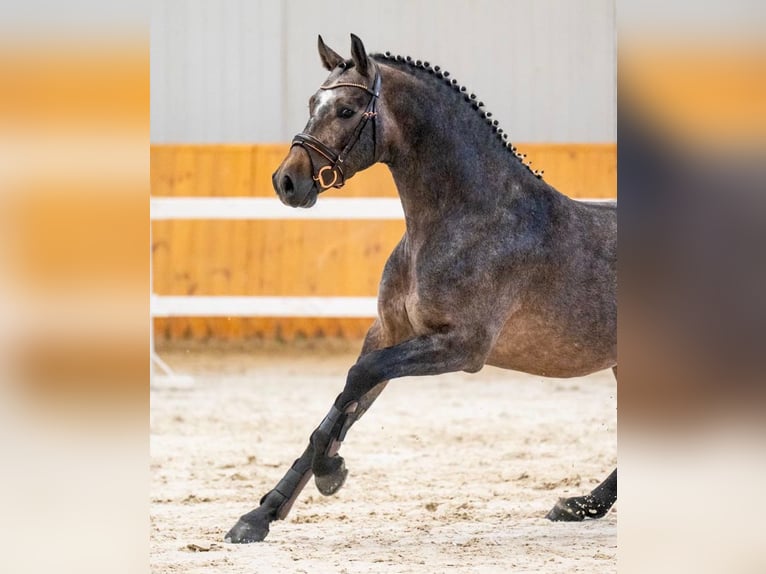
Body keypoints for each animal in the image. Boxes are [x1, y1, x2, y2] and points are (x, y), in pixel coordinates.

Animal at [225, 34, 617, 544]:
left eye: (347, 110)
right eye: (313, 103)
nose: (287, 182)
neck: (464, 218)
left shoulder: (462, 346)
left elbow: (358, 379)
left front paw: (332, 471)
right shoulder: (389, 332)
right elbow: (345, 402)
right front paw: (259, 516)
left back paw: (584, 504)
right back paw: (579, 505)